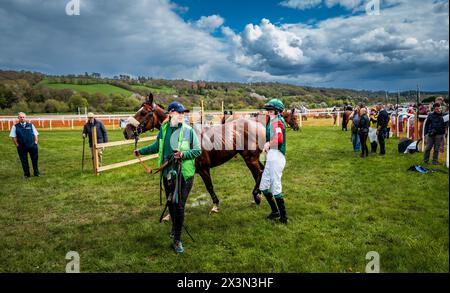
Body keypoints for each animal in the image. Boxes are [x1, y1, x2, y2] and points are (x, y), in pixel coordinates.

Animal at [123, 94, 268, 212]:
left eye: (143, 113)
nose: (126, 131)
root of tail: (258, 126)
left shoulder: (204, 169)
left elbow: (209, 186)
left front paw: (215, 205)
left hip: (250, 158)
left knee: (260, 173)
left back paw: (256, 195)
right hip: (252, 158)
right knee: (260, 172)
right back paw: (258, 195)